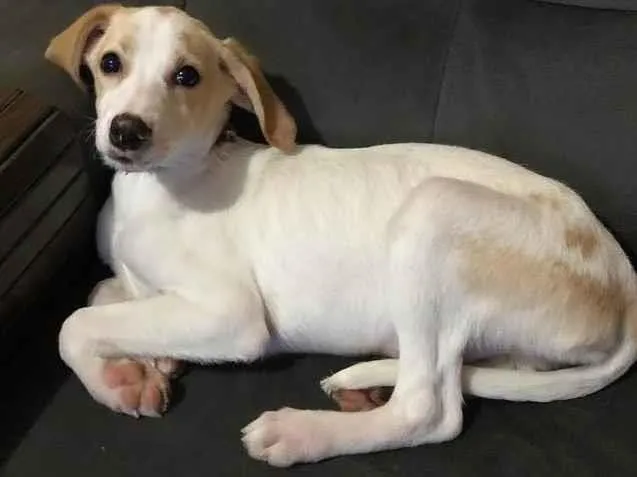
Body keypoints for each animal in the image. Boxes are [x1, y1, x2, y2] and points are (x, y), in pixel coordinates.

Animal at [46, 4, 637, 467]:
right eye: (110, 63)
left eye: (187, 76)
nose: (126, 132)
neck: (162, 185)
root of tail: (622, 277)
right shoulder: (142, 286)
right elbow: (104, 292)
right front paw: (149, 361)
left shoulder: (230, 312)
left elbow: (74, 324)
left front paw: (116, 380)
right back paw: (369, 387)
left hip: (432, 213)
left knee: (428, 410)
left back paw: (303, 431)